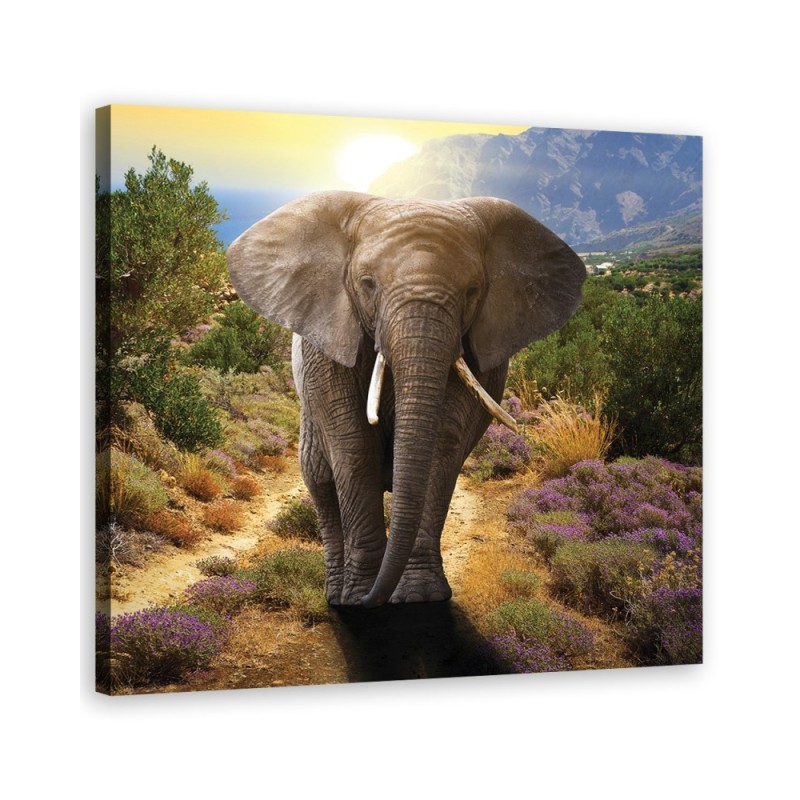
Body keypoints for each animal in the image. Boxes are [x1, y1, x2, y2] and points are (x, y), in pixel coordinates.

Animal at [228, 191, 585, 607]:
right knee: (320, 481)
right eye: (367, 284)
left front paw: (419, 597)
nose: (370, 601)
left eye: (473, 291)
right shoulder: (327, 344)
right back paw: (337, 595)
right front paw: (360, 597)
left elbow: (443, 443)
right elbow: (354, 446)